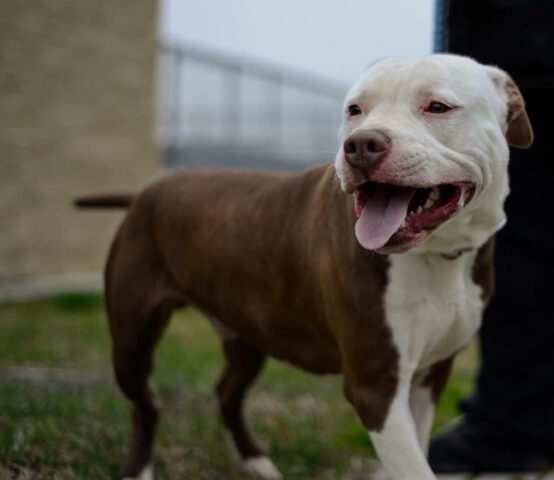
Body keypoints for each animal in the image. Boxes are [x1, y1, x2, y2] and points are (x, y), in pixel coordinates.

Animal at [76, 54, 532, 478]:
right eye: (355, 109)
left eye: (437, 106)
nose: (361, 144)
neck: (437, 255)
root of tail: (145, 192)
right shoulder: (376, 386)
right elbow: (414, 468)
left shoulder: (429, 376)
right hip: (133, 337)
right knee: (146, 403)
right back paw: (138, 468)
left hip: (246, 331)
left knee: (226, 392)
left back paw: (255, 461)